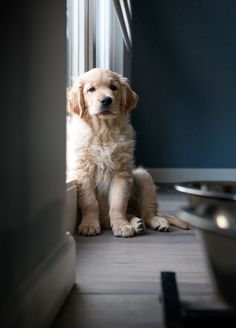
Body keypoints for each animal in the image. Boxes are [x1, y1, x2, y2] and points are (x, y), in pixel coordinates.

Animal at [67, 68, 188, 237]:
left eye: (113, 87)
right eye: (91, 89)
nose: (106, 100)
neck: (104, 132)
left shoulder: (122, 173)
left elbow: (118, 203)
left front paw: (121, 225)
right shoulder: (84, 172)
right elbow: (90, 202)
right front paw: (89, 224)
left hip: (143, 176)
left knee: (147, 212)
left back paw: (155, 222)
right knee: (128, 215)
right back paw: (136, 223)